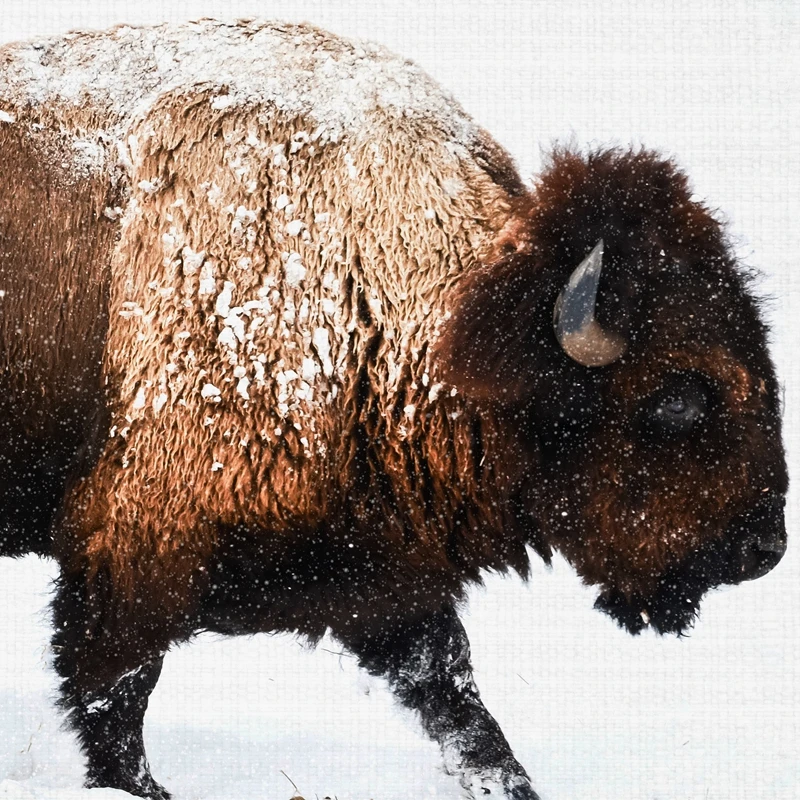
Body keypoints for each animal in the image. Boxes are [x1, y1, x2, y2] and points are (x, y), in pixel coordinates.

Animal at [0, 19, 787, 800]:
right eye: (678, 396)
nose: (765, 550)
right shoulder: (136, 547)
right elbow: (115, 699)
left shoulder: (385, 575)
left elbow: (457, 703)